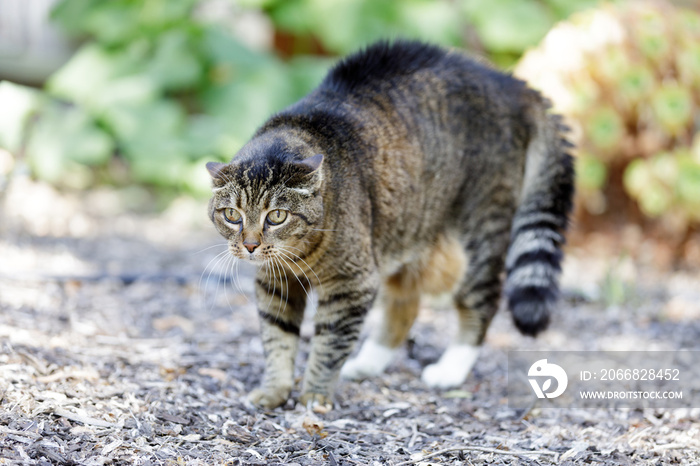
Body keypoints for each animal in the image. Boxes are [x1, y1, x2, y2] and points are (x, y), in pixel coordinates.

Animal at [206, 41, 576, 412]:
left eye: (277, 216)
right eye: (232, 215)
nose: (250, 245)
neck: (300, 253)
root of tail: (511, 84)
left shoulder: (350, 285)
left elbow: (329, 346)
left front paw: (315, 395)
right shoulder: (276, 284)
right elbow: (278, 338)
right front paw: (275, 389)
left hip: (478, 237)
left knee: (483, 302)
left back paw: (451, 369)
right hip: (403, 232)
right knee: (406, 306)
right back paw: (369, 362)